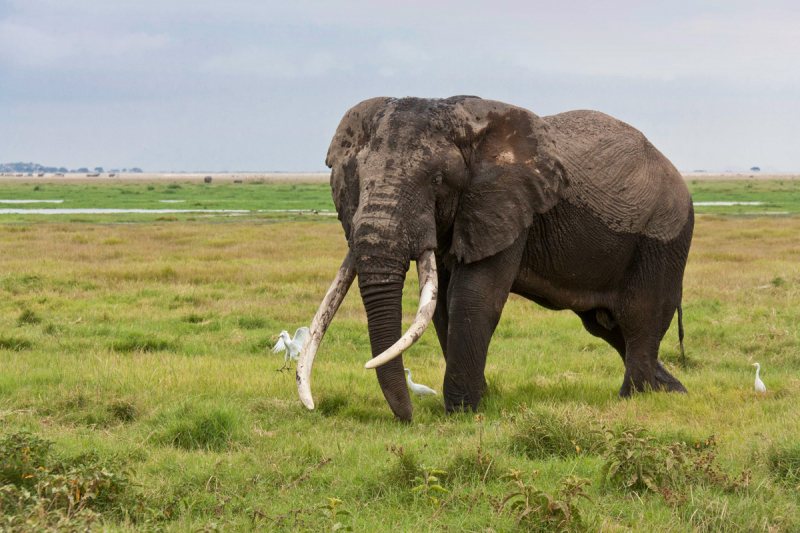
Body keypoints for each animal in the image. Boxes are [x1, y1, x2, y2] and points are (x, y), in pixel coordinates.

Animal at [294, 94, 692, 420]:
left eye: (437, 179)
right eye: (358, 179)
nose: (408, 418)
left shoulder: (505, 205)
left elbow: (472, 297)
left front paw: (462, 413)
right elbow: (441, 306)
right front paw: (478, 401)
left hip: (663, 236)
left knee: (640, 318)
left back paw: (632, 400)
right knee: (604, 325)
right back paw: (673, 391)